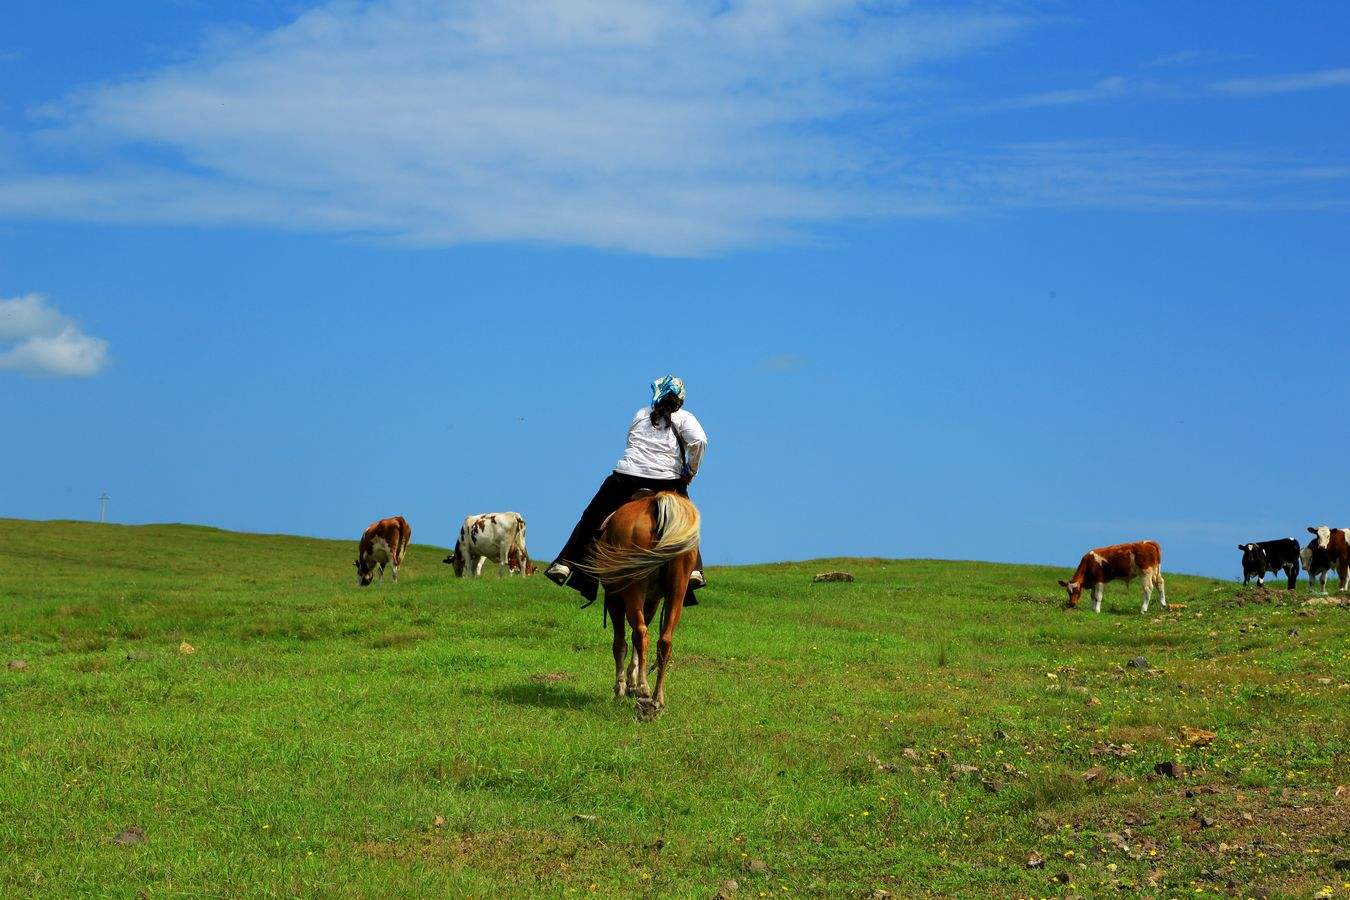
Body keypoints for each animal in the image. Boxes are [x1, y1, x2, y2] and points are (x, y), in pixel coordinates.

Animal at [580, 493, 702, 712]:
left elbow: (620, 644)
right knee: (664, 641)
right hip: (676, 592)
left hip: (633, 589)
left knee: (640, 633)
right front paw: (631, 681)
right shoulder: (652, 601)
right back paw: (657, 698)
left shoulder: (614, 599)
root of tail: (657, 501)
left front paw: (622, 687)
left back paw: (643, 688)